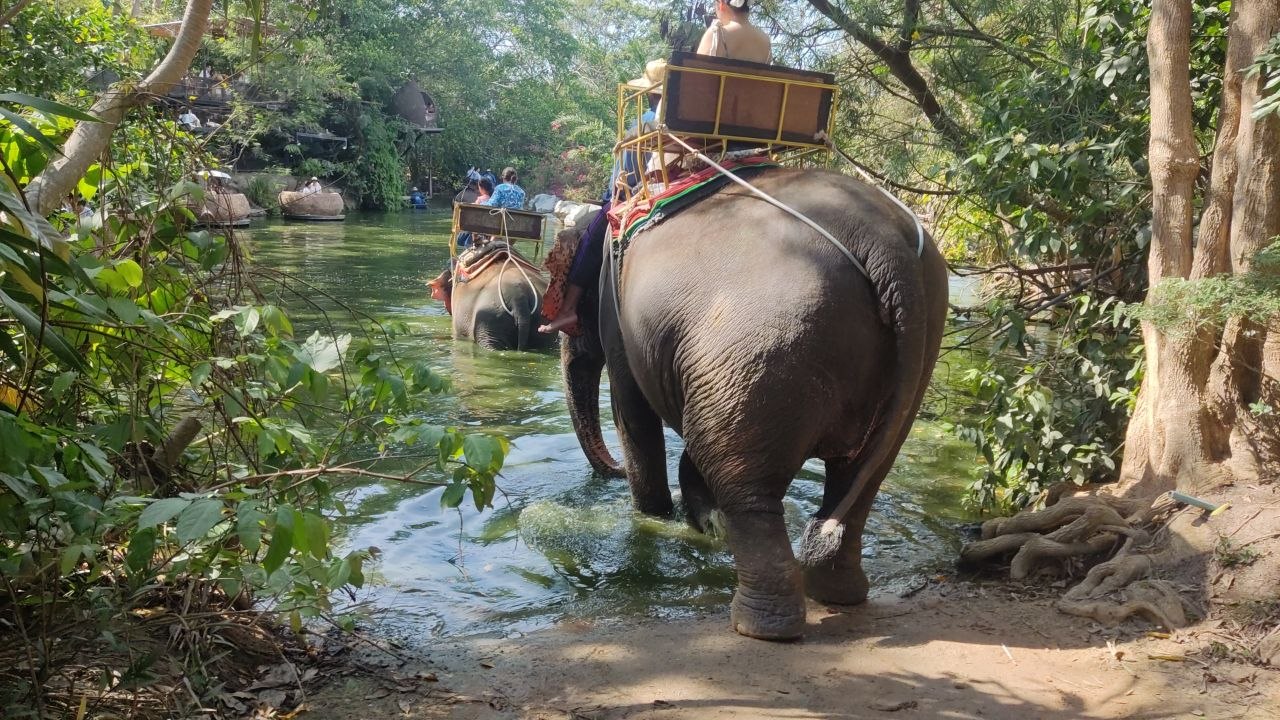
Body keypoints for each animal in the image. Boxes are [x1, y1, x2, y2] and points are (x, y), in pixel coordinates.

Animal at [560, 167, 948, 640]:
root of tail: (887, 245)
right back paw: (835, 591)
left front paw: (655, 516)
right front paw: (698, 518)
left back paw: (760, 625)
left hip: (763, 340)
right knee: (860, 477)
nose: (611, 471)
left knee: (740, 478)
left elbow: (633, 412)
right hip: (914, 348)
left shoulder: (617, 316)